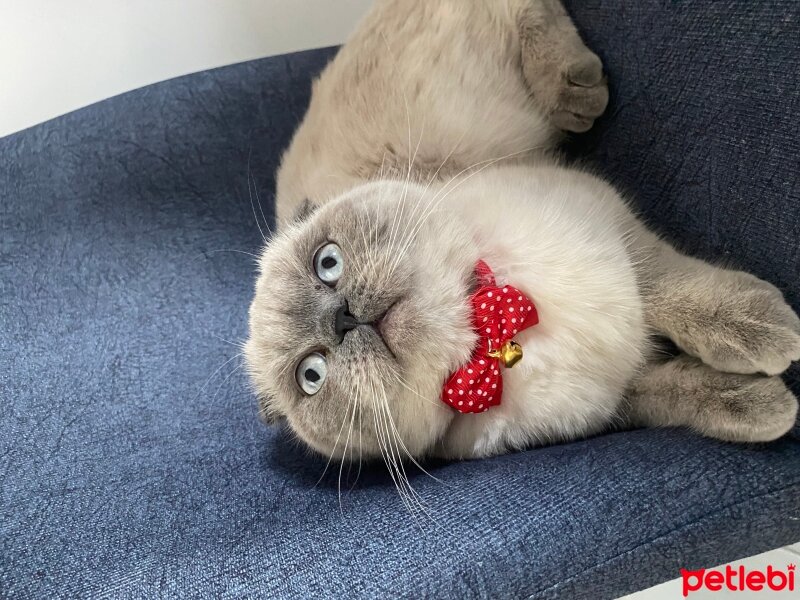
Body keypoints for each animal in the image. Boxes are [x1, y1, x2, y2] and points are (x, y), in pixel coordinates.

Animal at [244, 0, 800, 464]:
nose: (341, 319)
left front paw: (769, 330)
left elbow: (678, 292)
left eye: (327, 262)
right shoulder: (616, 400)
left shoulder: (612, 222)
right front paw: (766, 408)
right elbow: (680, 393)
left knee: (522, 9)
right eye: (312, 375)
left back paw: (577, 91)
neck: (492, 335)